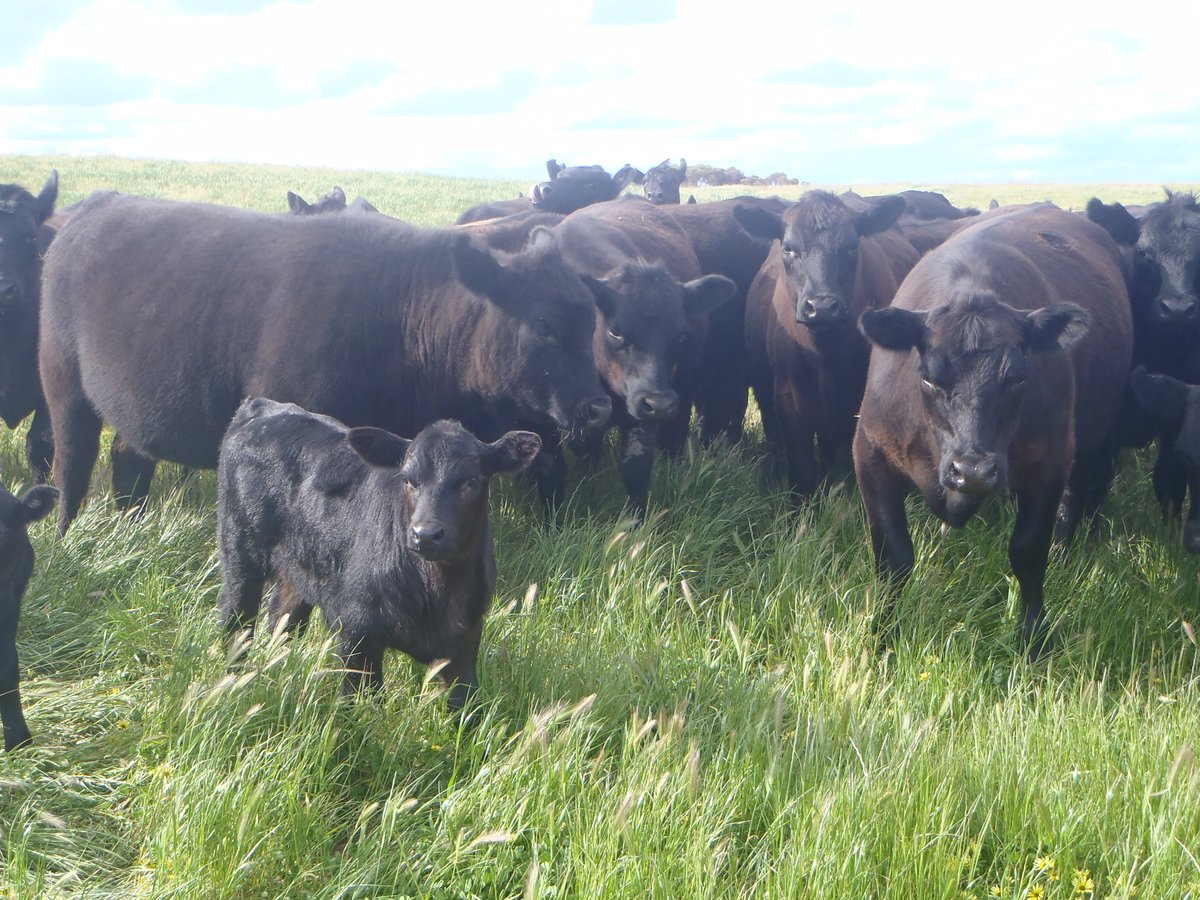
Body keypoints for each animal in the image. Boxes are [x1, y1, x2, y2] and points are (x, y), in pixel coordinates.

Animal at [40, 192, 613, 535]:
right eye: (543, 327)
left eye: (591, 323)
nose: (598, 407)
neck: (398, 315)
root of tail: (97, 205)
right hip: (63, 388)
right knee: (72, 466)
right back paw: (68, 536)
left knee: (128, 460)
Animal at [217, 398, 539, 708]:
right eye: (408, 479)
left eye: (470, 481)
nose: (425, 534)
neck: (437, 592)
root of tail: (263, 406)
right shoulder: (357, 632)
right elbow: (357, 704)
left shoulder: (466, 641)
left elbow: (467, 708)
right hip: (239, 552)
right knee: (235, 618)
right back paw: (232, 679)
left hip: (297, 570)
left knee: (281, 618)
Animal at [534, 197, 736, 517]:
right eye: (615, 332)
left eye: (680, 333)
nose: (659, 403)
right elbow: (552, 470)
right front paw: (554, 520)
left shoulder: (640, 410)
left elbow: (636, 468)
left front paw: (634, 523)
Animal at [734, 191, 920, 498]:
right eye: (788, 249)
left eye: (852, 247)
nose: (821, 307)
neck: (825, 355)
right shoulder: (788, 398)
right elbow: (802, 463)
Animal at [853, 204, 1132, 657]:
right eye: (928, 378)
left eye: (1017, 378)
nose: (973, 471)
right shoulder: (870, 453)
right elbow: (893, 557)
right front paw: (881, 637)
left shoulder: (1050, 461)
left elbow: (1028, 552)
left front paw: (1035, 640)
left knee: (1077, 496)